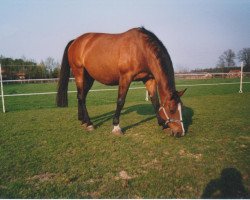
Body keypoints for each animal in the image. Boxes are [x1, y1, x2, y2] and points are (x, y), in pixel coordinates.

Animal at [56, 27, 186, 137]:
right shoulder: (125, 77)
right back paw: (89, 124)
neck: (141, 49)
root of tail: (75, 41)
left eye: (181, 108)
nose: (180, 132)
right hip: (79, 73)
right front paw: (116, 127)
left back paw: (82, 120)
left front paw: (162, 124)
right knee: (81, 97)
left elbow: (155, 101)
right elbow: (120, 101)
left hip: (89, 78)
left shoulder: (149, 79)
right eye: (172, 109)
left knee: (81, 96)